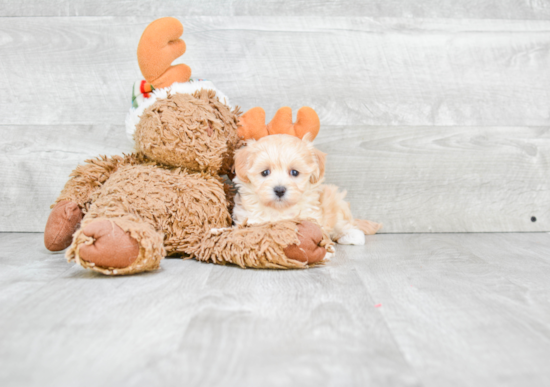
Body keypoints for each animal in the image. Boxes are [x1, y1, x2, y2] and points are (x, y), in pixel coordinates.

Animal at [231, 134, 382, 246]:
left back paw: (351, 236)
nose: (279, 190)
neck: (280, 210)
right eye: (265, 172)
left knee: (345, 225)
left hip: (336, 203)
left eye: (294, 172)